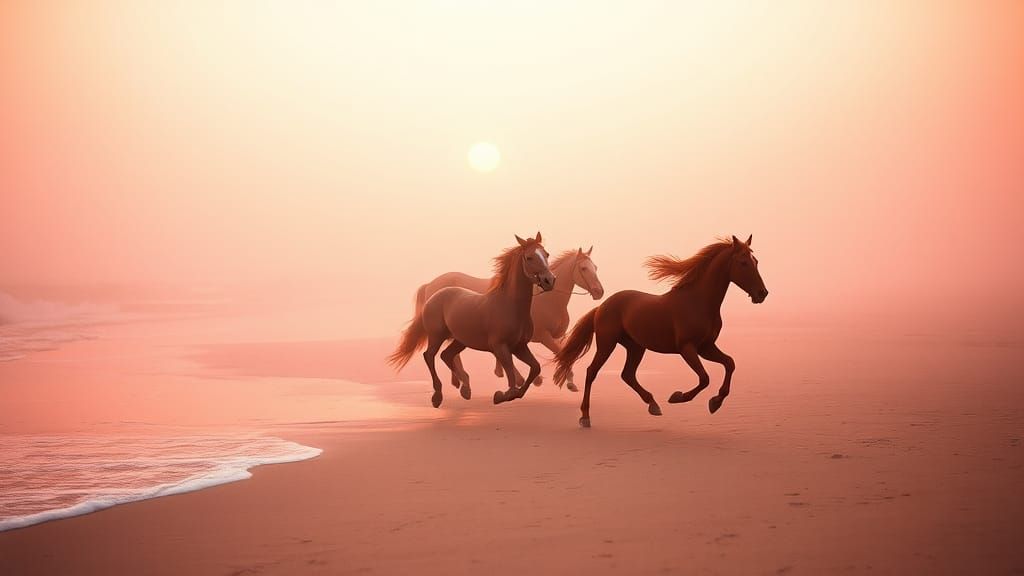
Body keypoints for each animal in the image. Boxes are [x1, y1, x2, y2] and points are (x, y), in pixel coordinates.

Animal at [389, 233, 556, 408]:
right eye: (529, 257)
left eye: (546, 254)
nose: (549, 280)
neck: (509, 306)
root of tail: (433, 295)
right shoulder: (500, 347)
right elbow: (511, 379)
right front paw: (500, 395)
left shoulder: (520, 346)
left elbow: (535, 368)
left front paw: (512, 393)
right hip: (436, 336)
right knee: (429, 355)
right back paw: (438, 396)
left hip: (460, 341)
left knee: (446, 355)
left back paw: (464, 388)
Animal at [416, 247, 605, 393]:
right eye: (583, 268)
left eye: (595, 267)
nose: (599, 292)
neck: (548, 300)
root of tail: (430, 285)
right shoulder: (543, 336)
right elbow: (560, 353)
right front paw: (567, 381)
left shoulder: (555, 336)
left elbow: (565, 352)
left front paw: (568, 380)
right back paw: (466, 382)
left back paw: (460, 381)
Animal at [553, 235, 768, 427]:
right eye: (743, 263)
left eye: (756, 261)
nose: (762, 294)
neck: (698, 302)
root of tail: (602, 306)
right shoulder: (687, 348)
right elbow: (704, 378)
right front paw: (678, 397)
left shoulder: (706, 347)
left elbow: (729, 363)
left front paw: (716, 402)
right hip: (607, 344)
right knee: (592, 371)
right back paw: (585, 417)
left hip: (636, 347)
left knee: (627, 374)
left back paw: (653, 405)